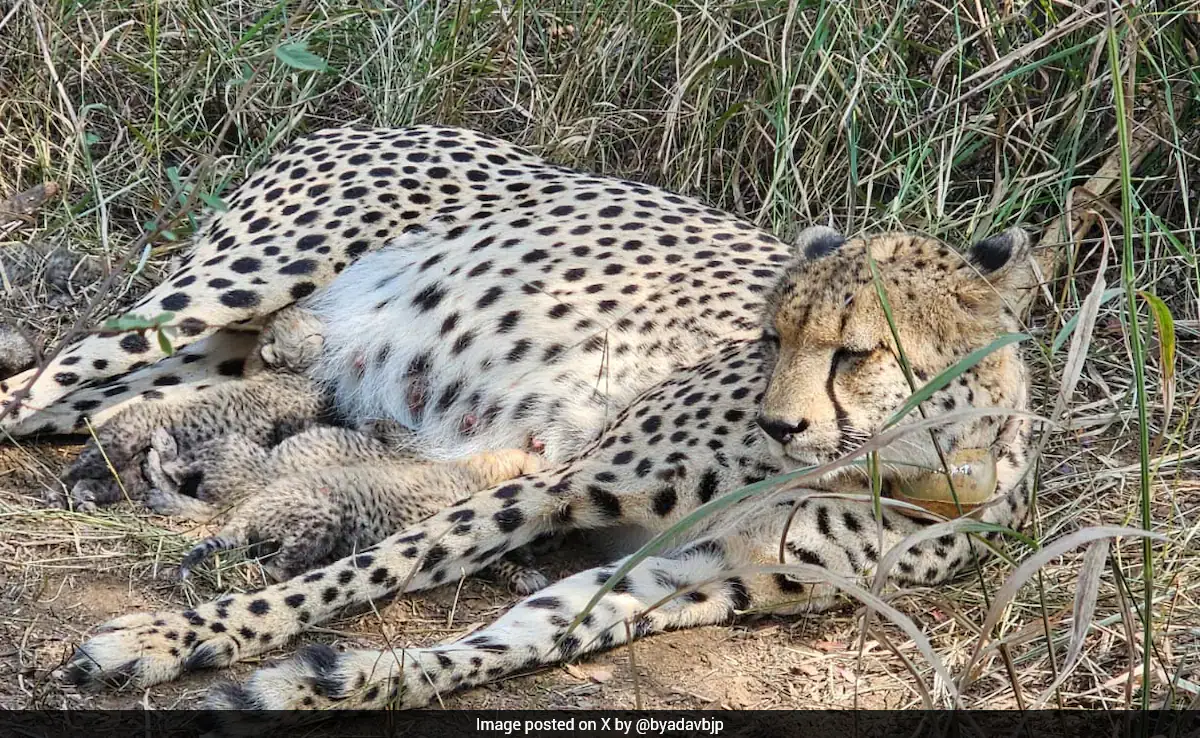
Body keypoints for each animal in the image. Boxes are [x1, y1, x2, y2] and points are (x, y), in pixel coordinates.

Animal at [0, 126, 1039, 710]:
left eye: (856, 352)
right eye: (771, 336)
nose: (781, 427)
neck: (904, 464)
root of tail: (379, 119)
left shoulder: (695, 574)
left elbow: (517, 640)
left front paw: (336, 682)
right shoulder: (560, 483)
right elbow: (371, 569)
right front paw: (169, 639)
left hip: (210, 355)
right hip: (219, 292)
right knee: (25, 393)